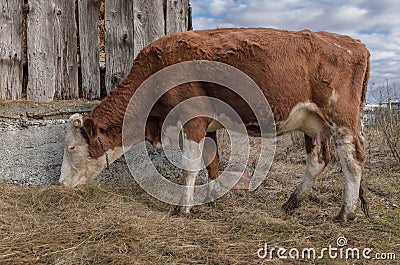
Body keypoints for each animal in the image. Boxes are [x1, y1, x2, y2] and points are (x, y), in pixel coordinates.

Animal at [60, 27, 372, 221]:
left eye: (72, 147)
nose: (61, 184)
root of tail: (353, 43)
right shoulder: (208, 126)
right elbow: (212, 163)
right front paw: (211, 197)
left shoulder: (193, 119)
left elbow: (189, 167)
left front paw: (183, 209)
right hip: (313, 123)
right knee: (318, 160)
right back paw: (292, 202)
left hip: (341, 118)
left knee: (353, 159)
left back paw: (345, 213)